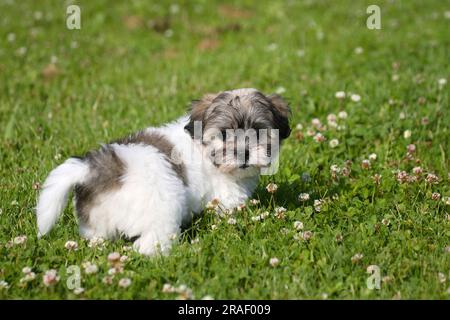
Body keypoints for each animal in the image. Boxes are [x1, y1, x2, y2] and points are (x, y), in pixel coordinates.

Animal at [36, 88, 292, 255]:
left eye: (257, 131)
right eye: (224, 134)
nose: (244, 153)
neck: (202, 148)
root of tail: (99, 168)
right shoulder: (227, 195)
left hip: (95, 219)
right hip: (161, 207)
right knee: (152, 239)